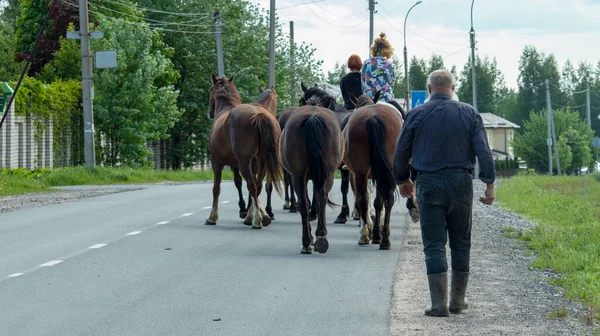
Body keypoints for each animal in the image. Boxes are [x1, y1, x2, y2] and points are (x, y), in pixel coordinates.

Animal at [206, 74, 282, 230]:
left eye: (210, 89)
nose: (209, 112)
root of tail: (258, 114)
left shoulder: (217, 162)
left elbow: (217, 188)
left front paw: (212, 217)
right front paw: (261, 213)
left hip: (244, 162)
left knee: (252, 186)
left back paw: (256, 220)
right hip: (262, 161)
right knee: (257, 186)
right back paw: (259, 217)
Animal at [282, 103, 342, 253]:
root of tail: (313, 117)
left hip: (298, 175)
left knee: (305, 203)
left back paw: (308, 242)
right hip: (327, 174)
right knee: (320, 198)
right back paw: (319, 237)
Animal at [342, 93, 404, 248]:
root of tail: (374, 117)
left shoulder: (359, 174)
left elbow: (365, 200)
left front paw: (371, 231)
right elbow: (378, 202)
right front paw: (376, 233)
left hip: (360, 173)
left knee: (363, 199)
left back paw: (364, 235)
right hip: (388, 171)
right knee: (388, 199)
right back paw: (385, 239)